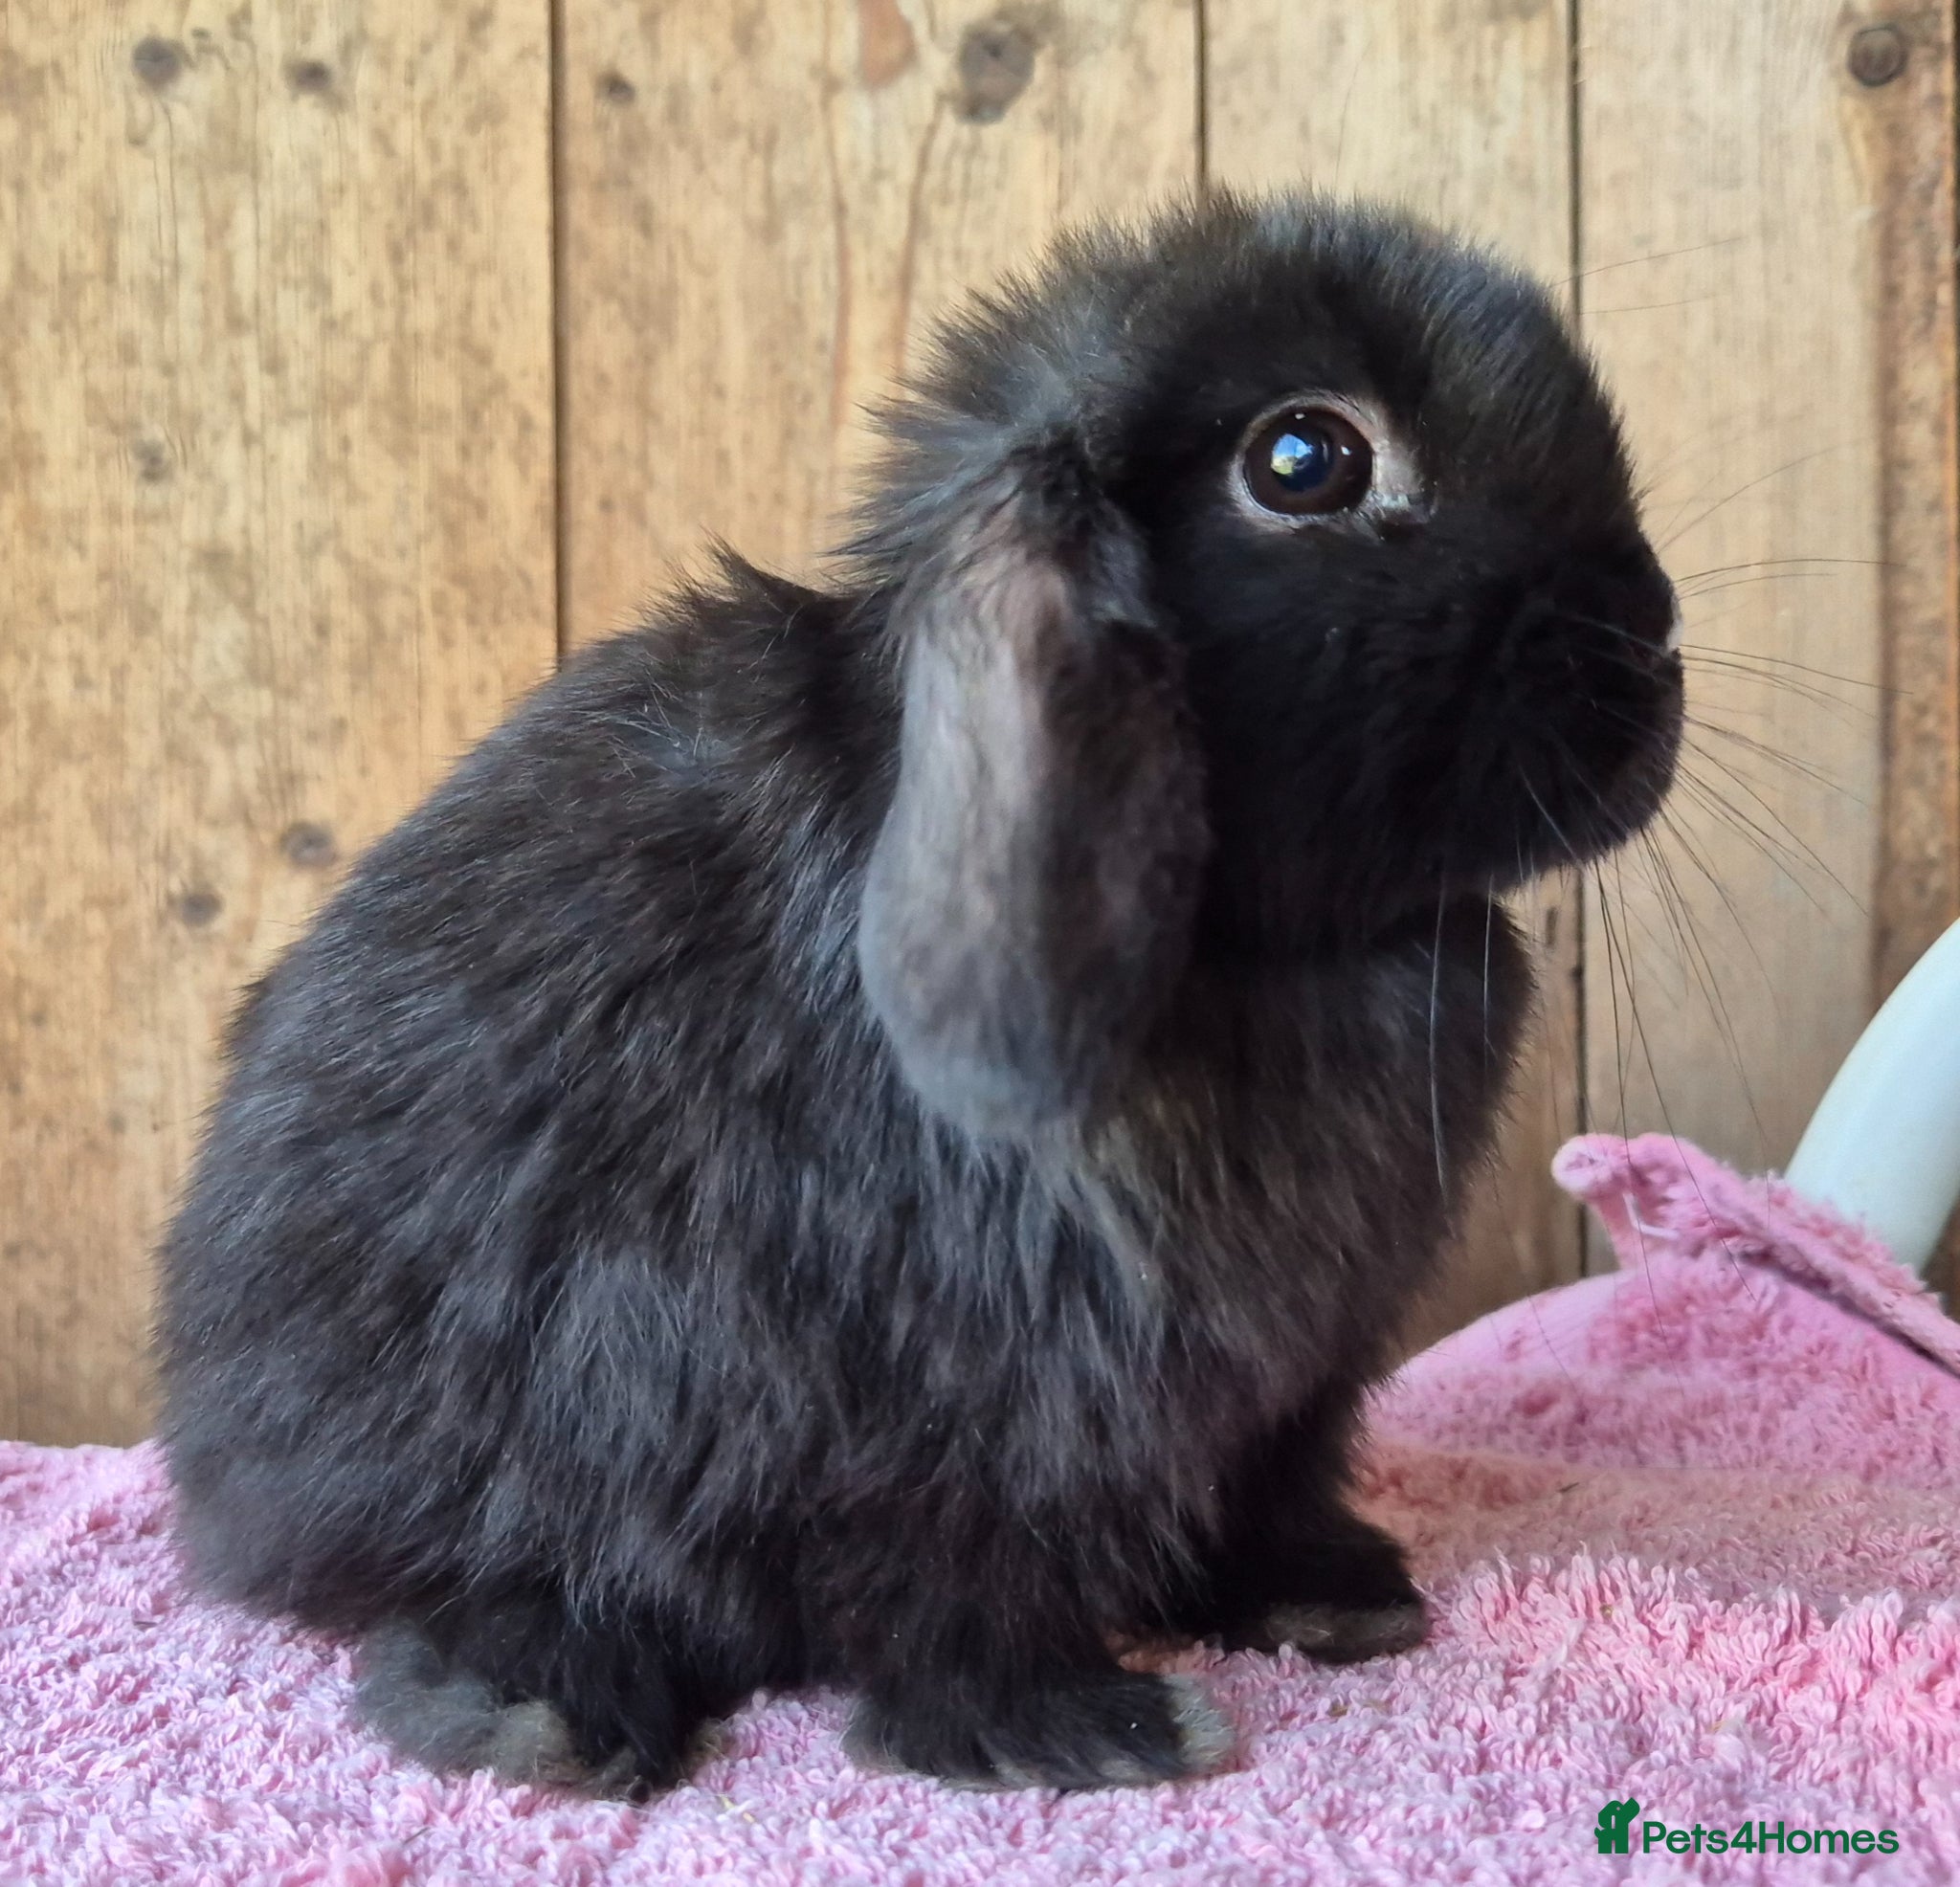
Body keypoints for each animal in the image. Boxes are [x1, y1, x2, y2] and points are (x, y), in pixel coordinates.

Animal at [156, 191, 1683, 1797]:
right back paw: (547, 1712)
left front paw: (1333, 1601)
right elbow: (956, 1584)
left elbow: (1267, 1493)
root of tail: (220, 1472)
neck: (1252, 945)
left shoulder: (1290, 1388)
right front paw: (1089, 1729)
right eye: (1304, 459)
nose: (1649, 649)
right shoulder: (947, 1395)